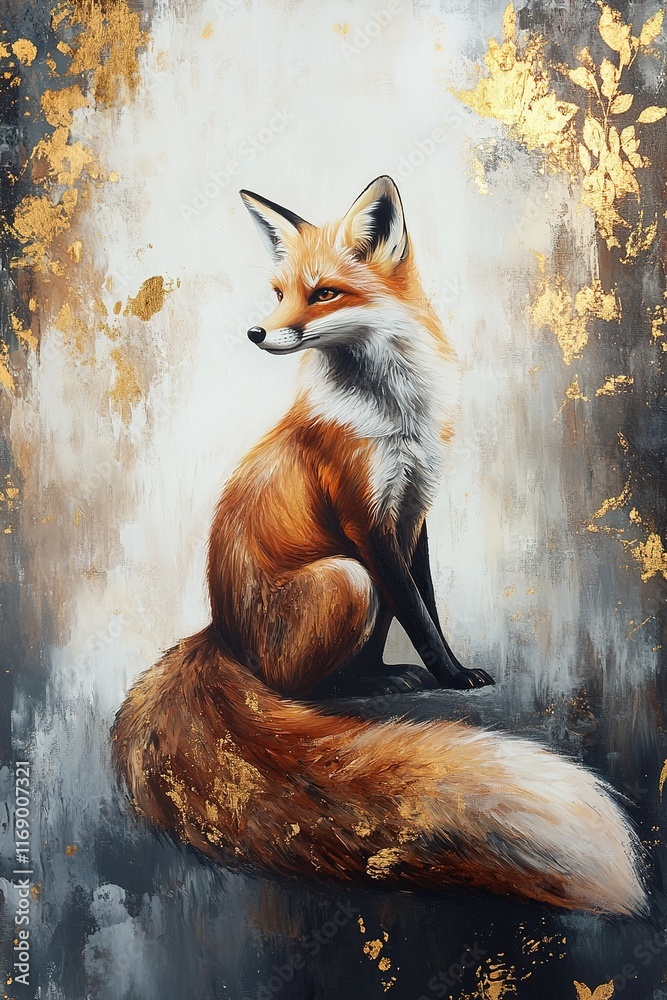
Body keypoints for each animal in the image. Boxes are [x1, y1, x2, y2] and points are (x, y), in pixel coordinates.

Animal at [112, 176, 646, 915]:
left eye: (324, 293)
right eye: (278, 291)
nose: (256, 332)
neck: (394, 415)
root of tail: (219, 633)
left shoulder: (414, 509)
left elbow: (422, 603)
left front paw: (437, 668)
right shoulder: (364, 519)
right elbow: (417, 614)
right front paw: (451, 675)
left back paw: (379, 675)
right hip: (346, 577)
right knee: (297, 684)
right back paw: (346, 687)